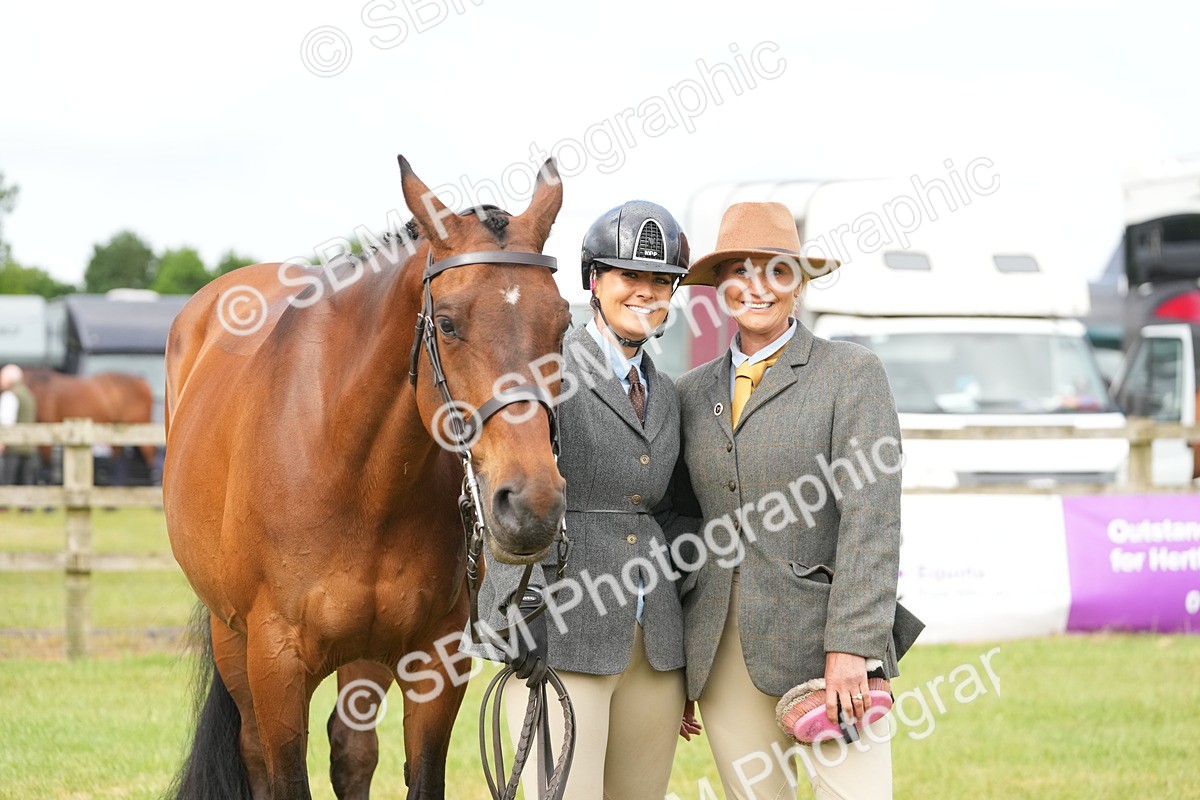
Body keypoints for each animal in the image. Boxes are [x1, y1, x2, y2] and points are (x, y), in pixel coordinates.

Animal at [163, 156, 572, 799]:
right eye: (447, 323)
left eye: (563, 323)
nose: (531, 504)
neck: (358, 477)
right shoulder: (276, 666)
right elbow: (284, 774)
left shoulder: (435, 661)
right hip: (232, 638)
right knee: (254, 750)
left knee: (352, 751)